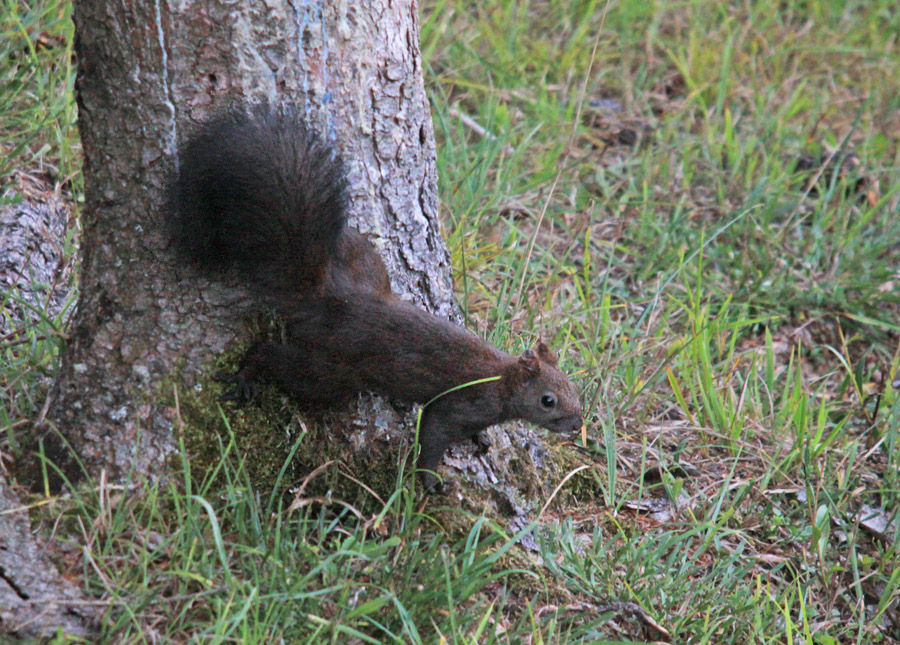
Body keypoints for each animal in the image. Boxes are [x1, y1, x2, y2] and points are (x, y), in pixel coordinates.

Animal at [171, 104, 584, 488]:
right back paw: (247, 373)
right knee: (279, 359)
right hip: (330, 371)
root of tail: (329, 298)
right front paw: (429, 480)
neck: (503, 379)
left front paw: (480, 440)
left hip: (364, 263)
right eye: (548, 400)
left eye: (574, 388)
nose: (577, 425)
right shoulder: (463, 403)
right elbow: (434, 433)